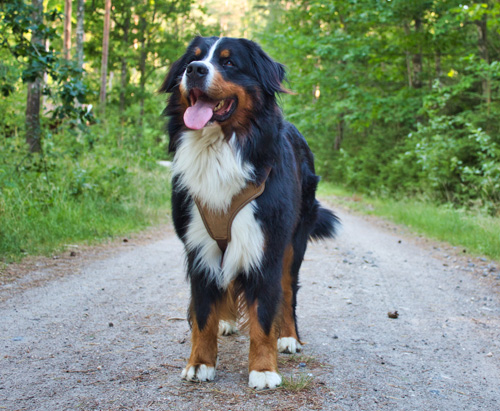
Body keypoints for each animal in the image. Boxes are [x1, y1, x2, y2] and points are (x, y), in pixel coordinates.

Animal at [160, 37, 340, 392]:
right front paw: (200, 363)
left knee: (288, 292)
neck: (220, 149)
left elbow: (264, 315)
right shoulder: (198, 247)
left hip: (293, 243)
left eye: (229, 63)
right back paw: (227, 321)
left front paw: (263, 369)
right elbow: (202, 314)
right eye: (192, 59)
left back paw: (288, 337)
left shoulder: (265, 246)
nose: (195, 70)